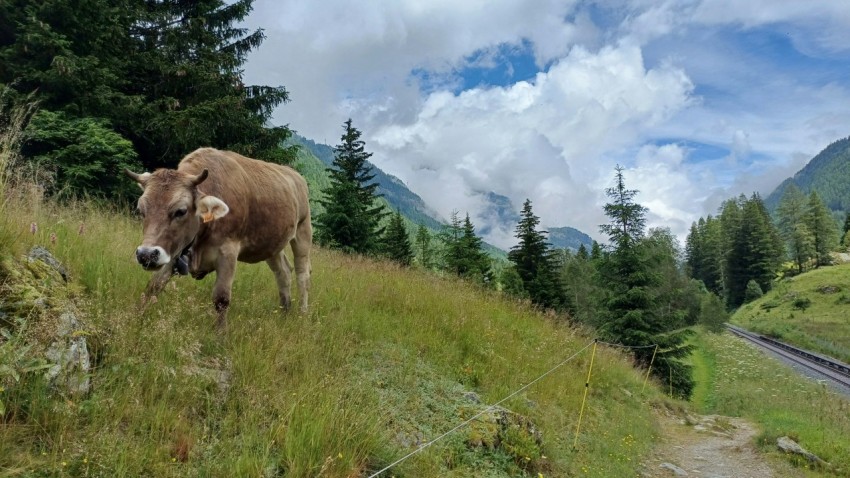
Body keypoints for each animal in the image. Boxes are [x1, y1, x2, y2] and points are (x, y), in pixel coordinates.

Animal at [122, 148, 312, 328]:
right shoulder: (174, 250)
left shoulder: (228, 251)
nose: (146, 255)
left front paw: (220, 338)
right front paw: (134, 321)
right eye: (141, 210)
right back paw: (285, 311)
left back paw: (302, 313)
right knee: (283, 272)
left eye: (181, 211)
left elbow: (221, 299)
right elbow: (153, 287)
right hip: (272, 245)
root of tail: (294, 174)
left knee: (302, 274)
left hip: (303, 231)